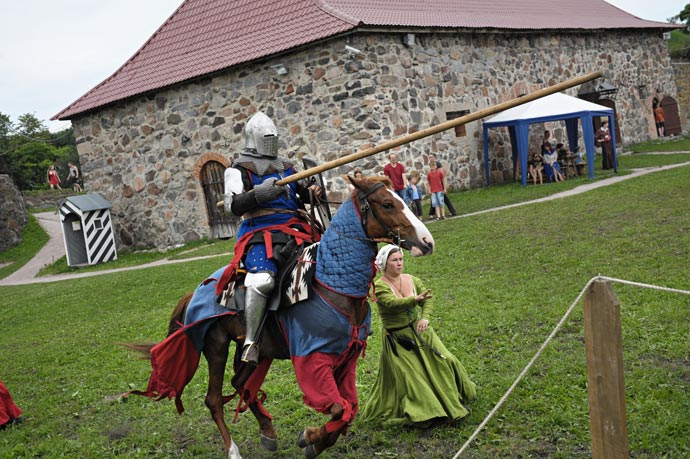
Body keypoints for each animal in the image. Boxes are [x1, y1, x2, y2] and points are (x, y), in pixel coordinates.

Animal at [130, 174, 432, 458]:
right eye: (387, 203)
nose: (427, 242)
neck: (332, 284)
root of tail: (194, 292)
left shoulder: (346, 358)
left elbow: (350, 408)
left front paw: (316, 441)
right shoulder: (311, 360)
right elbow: (338, 408)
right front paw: (310, 437)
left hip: (259, 350)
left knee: (241, 383)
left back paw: (267, 431)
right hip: (216, 346)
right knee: (214, 399)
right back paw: (233, 450)